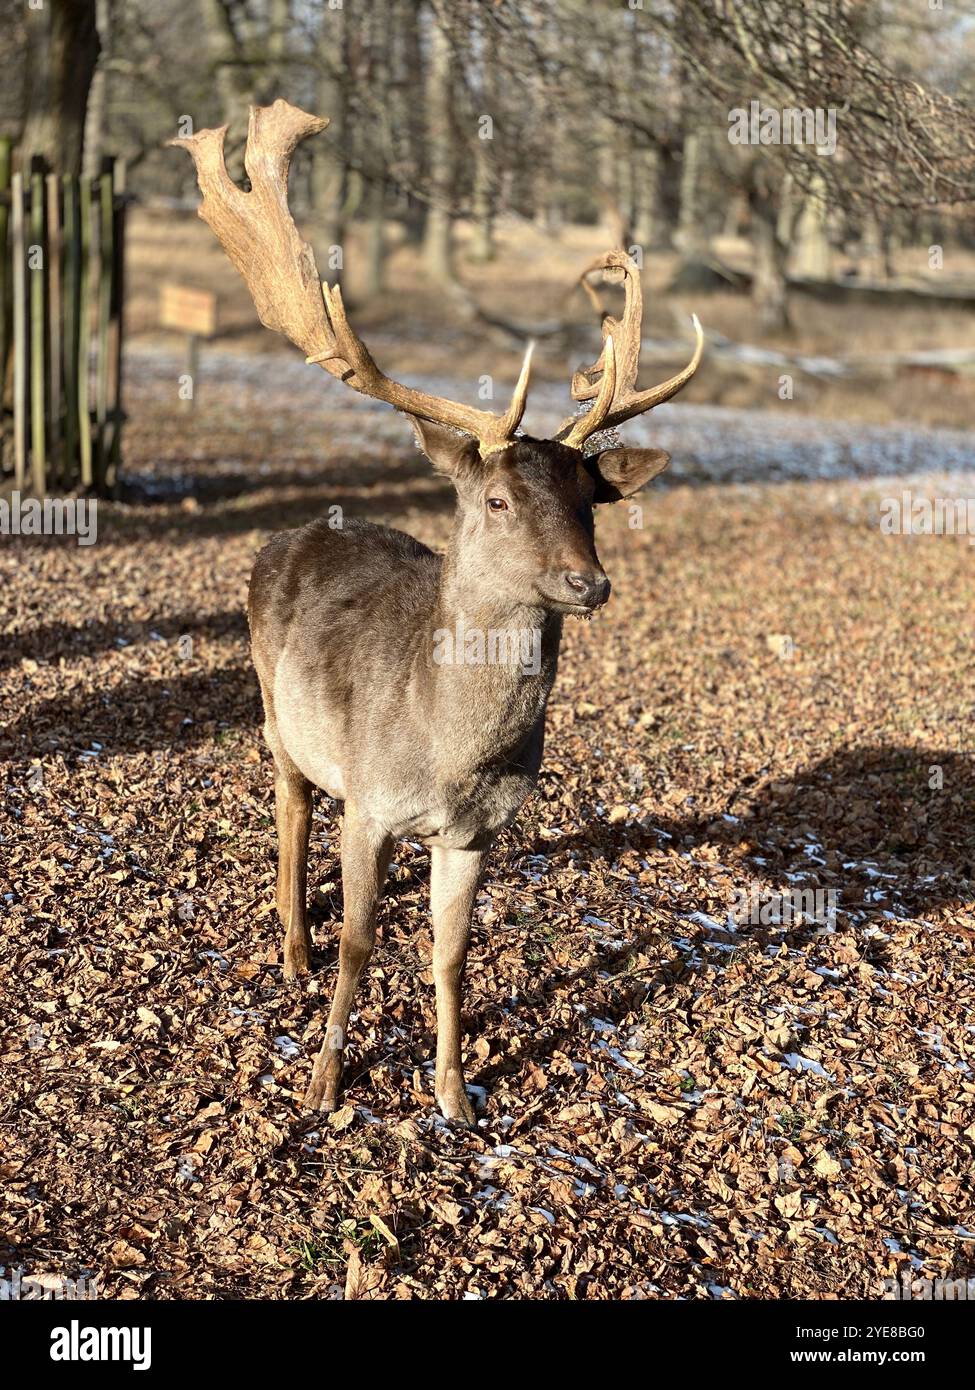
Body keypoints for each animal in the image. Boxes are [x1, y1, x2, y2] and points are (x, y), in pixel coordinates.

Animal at [173, 100, 700, 1117]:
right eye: (495, 500)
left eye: (590, 501)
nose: (588, 583)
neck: (448, 751)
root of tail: (289, 533)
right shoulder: (371, 803)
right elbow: (361, 942)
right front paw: (325, 1081)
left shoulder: (478, 831)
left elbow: (451, 955)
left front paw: (456, 1092)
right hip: (274, 709)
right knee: (289, 810)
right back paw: (290, 947)